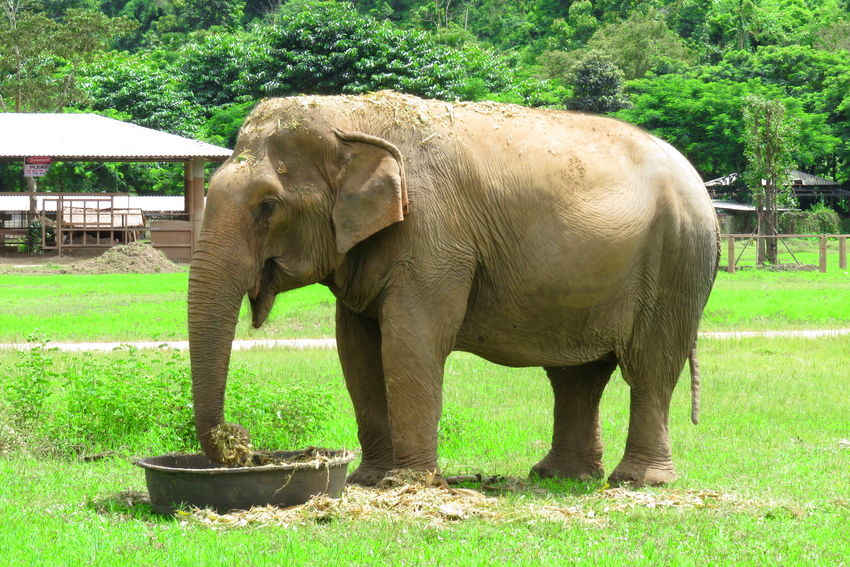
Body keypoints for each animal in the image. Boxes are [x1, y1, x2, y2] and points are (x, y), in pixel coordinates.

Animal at [188, 91, 719, 487]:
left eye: (268, 205)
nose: (240, 442)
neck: (351, 116)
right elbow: (356, 349)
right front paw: (368, 480)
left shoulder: (435, 238)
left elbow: (411, 342)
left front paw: (407, 483)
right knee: (576, 376)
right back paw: (560, 477)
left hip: (677, 260)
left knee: (651, 367)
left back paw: (638, 482)